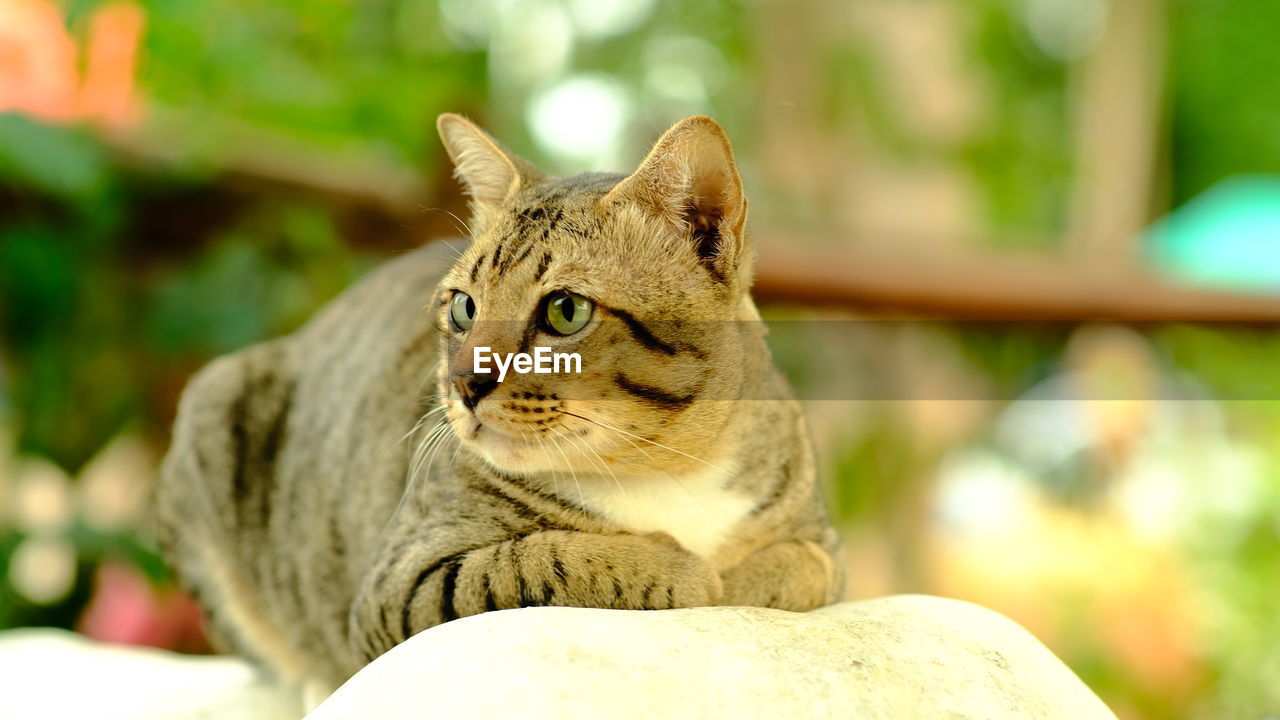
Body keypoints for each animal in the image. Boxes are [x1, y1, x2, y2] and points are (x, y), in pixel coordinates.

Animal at [152, 112, 839, 691]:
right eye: (463, 307)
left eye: (566, 311)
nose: (465, 383)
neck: (664, 471)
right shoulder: (398, 583)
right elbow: (534, 563)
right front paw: (687, 572)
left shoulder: (820, 537)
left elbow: (808, 566)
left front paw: (740, 578)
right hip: (215, 406)